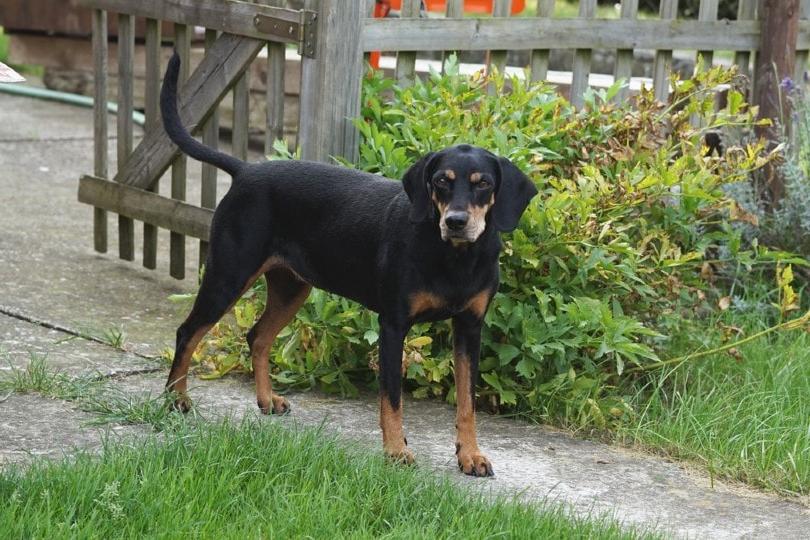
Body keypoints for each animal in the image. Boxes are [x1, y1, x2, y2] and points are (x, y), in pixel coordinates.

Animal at [160, 52, 532, 476]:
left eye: (484, 183)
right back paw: (176, 400)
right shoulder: (393, 324)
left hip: (291, 287)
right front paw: (396, 450)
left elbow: (467, 401)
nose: (455, 221)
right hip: (229, 274)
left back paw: (267, 400)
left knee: (258, 336)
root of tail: (245, 169)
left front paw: (470, 454)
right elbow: (391, 398)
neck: (454, 257)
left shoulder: (470, 327)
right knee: (188, 332)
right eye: (440, 180)